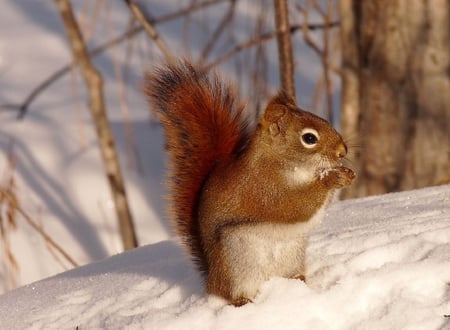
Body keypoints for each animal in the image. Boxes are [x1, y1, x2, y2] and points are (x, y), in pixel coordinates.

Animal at [146, 60, 356, 306]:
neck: (281, 163)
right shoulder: (263, 190)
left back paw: (299, 282)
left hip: (291, 255)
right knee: (229, 293)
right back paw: (242, 301)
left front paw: (346, 174)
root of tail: (212, 279)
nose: (343, 151)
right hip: (237, 261)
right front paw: (332, 179)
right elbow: (294, 207)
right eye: (309, 138)